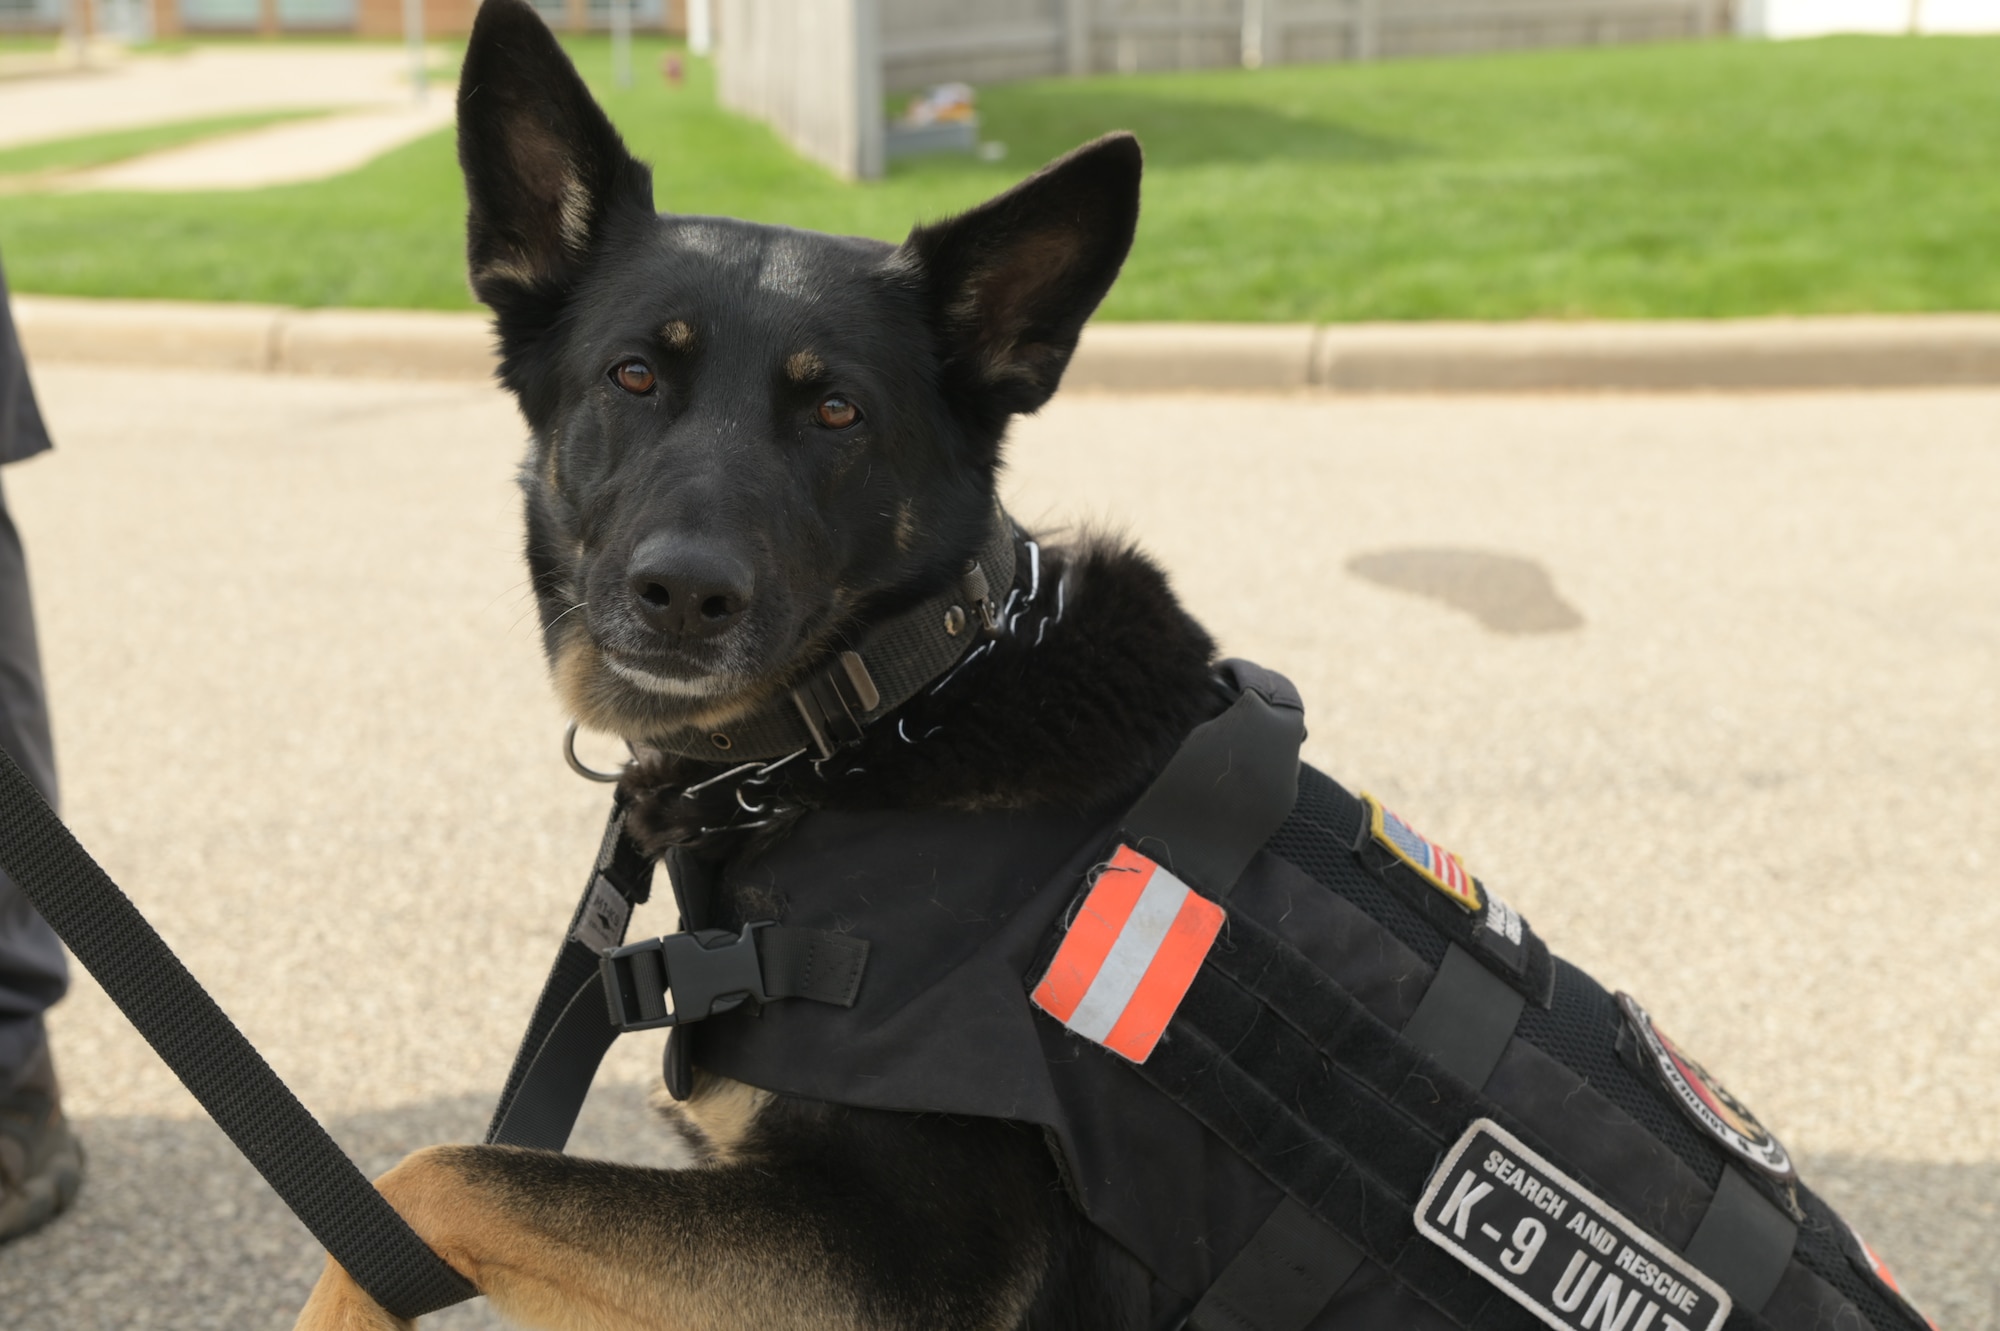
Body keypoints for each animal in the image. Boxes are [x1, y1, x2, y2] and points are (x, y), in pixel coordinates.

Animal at [290, 2, 1208, 1327]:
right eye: (633, 374)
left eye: (836, 412)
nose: (684, 596)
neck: (891, 704)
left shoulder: (894, 1265)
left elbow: (430, 1177)